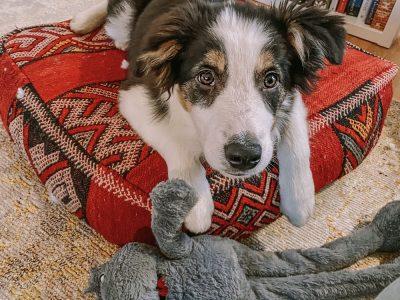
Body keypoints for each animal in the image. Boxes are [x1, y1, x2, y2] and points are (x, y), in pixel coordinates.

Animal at [72, 0, 346, 233]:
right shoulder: (134, 95)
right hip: (122, 20)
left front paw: (300, 200)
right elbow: (177, 143)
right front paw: (196, 204)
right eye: (206, 77)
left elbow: (297, 141)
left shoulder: (291, 97)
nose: (244, 156)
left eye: (271, 79)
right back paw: (83, 20)